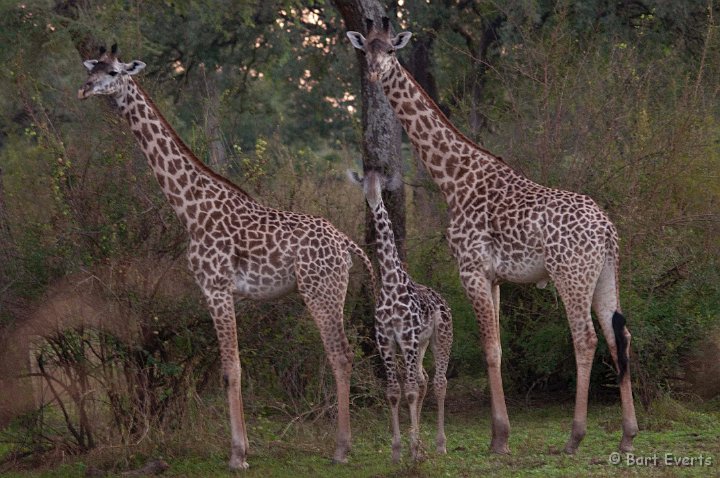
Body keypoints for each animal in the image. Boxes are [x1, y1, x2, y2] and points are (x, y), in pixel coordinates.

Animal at [77, 44, 376, 470]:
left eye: (115, 71)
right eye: (93, 68)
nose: (85, 89)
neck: (189, 210)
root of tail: (347, 244)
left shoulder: (215, 287)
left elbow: (230, 368)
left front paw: (237, 456)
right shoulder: (221, 291)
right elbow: (233, 366)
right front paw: (244, 448)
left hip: (321, 290)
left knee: (341, 355)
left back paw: (340, 449)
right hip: (329, 290)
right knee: (343, 354)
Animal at [348, 170, 450, 462]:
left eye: (381, 184)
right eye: (363, 183)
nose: (372, 199)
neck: (392, 283)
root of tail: (443, 301)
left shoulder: (407, 338)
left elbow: (411, 391)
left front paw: (414, 449)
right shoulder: (386, 341)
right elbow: (394, 392)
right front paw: (397, 451)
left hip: (441, 338)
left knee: (439, 381)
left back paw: (440, 444)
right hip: (421, 344)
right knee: (424, 378)